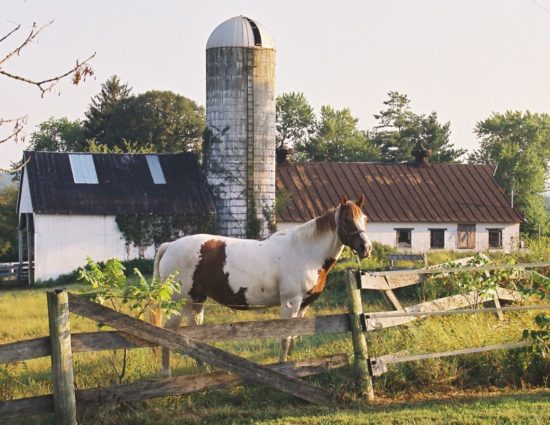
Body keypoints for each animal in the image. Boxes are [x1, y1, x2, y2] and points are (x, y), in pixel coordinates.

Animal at [153, 195, 374, 374]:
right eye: (347, 220)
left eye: (365, 219)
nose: (366, 248)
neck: (304, 251)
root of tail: (170, 246)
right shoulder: (290, 303)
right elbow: (285, 338)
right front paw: (284, 369)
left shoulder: (303, 306)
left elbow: (294, 337)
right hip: (179, 303)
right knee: (167, 333)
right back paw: (166, 374)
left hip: (196, 301)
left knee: (193, 335)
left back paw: (204, 371)